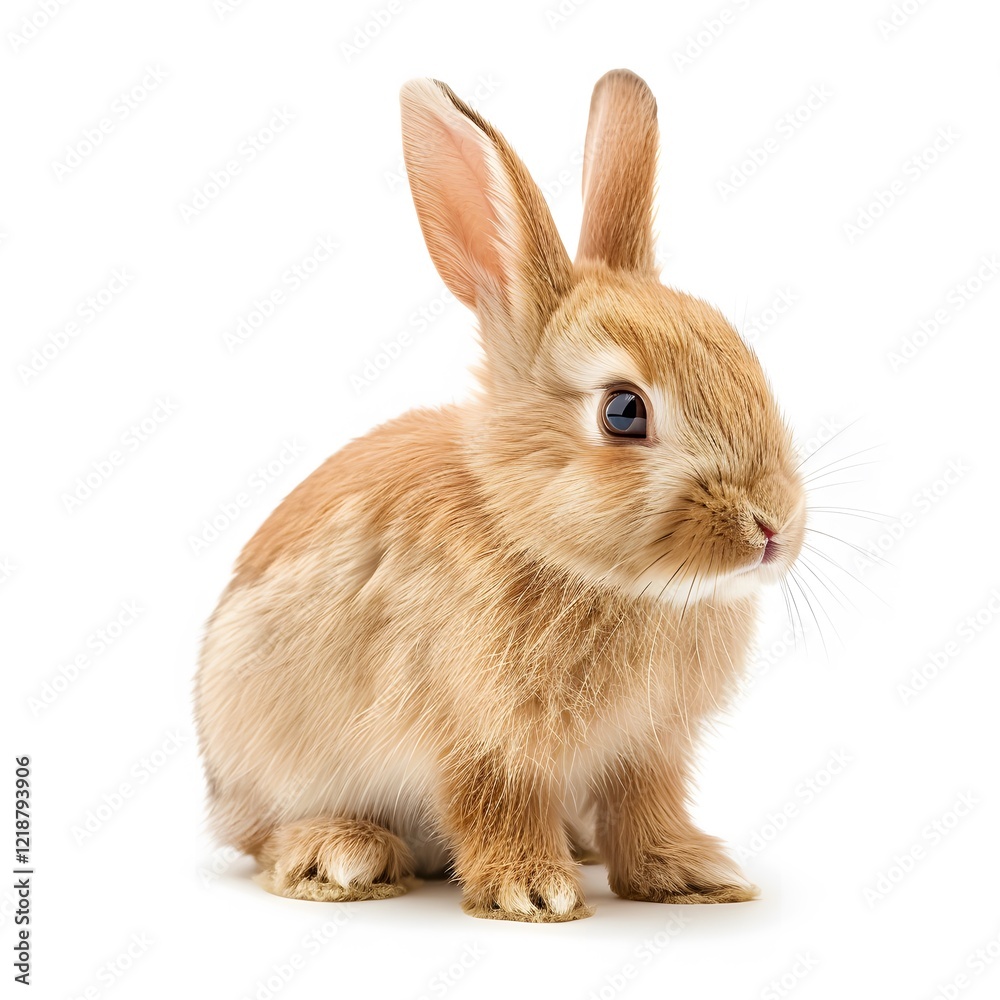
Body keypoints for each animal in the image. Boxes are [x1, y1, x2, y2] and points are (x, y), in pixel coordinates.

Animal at [193, 70, 804, 924]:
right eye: (624, 411)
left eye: (745, 358)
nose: (773, 527)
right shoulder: (481, 738)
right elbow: (494, 802)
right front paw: (532, 890)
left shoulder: (647, 747)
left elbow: (646, 810)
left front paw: (689, 876)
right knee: (266, 838)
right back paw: (341, 855)